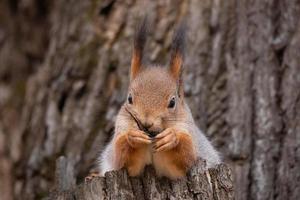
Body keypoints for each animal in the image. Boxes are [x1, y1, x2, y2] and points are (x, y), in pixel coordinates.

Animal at [89, 18, 220, 180]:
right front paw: (133, 136)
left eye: (172, 102)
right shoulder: (121, 129)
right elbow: (121, 158)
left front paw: (171, 137)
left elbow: (187, 156)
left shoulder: (187, 131)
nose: (146, 123)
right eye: (129, 98)